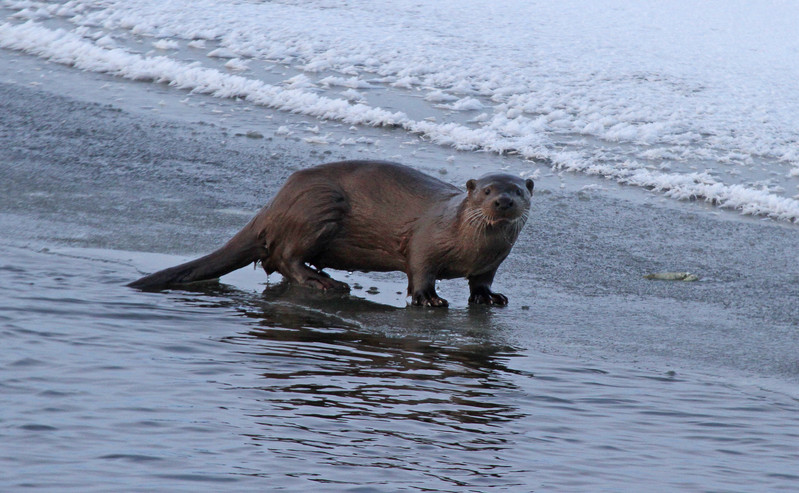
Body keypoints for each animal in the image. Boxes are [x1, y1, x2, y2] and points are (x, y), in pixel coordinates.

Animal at [128, 160, 536, 306]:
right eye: (486, 190)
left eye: (519, 190)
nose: (502, 201)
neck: (469, 246)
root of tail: (274, 204)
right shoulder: (425, 242)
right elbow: (420, 272)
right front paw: (428, 300)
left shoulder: (491, 263)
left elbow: (481, 282)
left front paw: (490, 298)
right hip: (319, 206)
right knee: (285, 256)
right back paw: (324, 283)